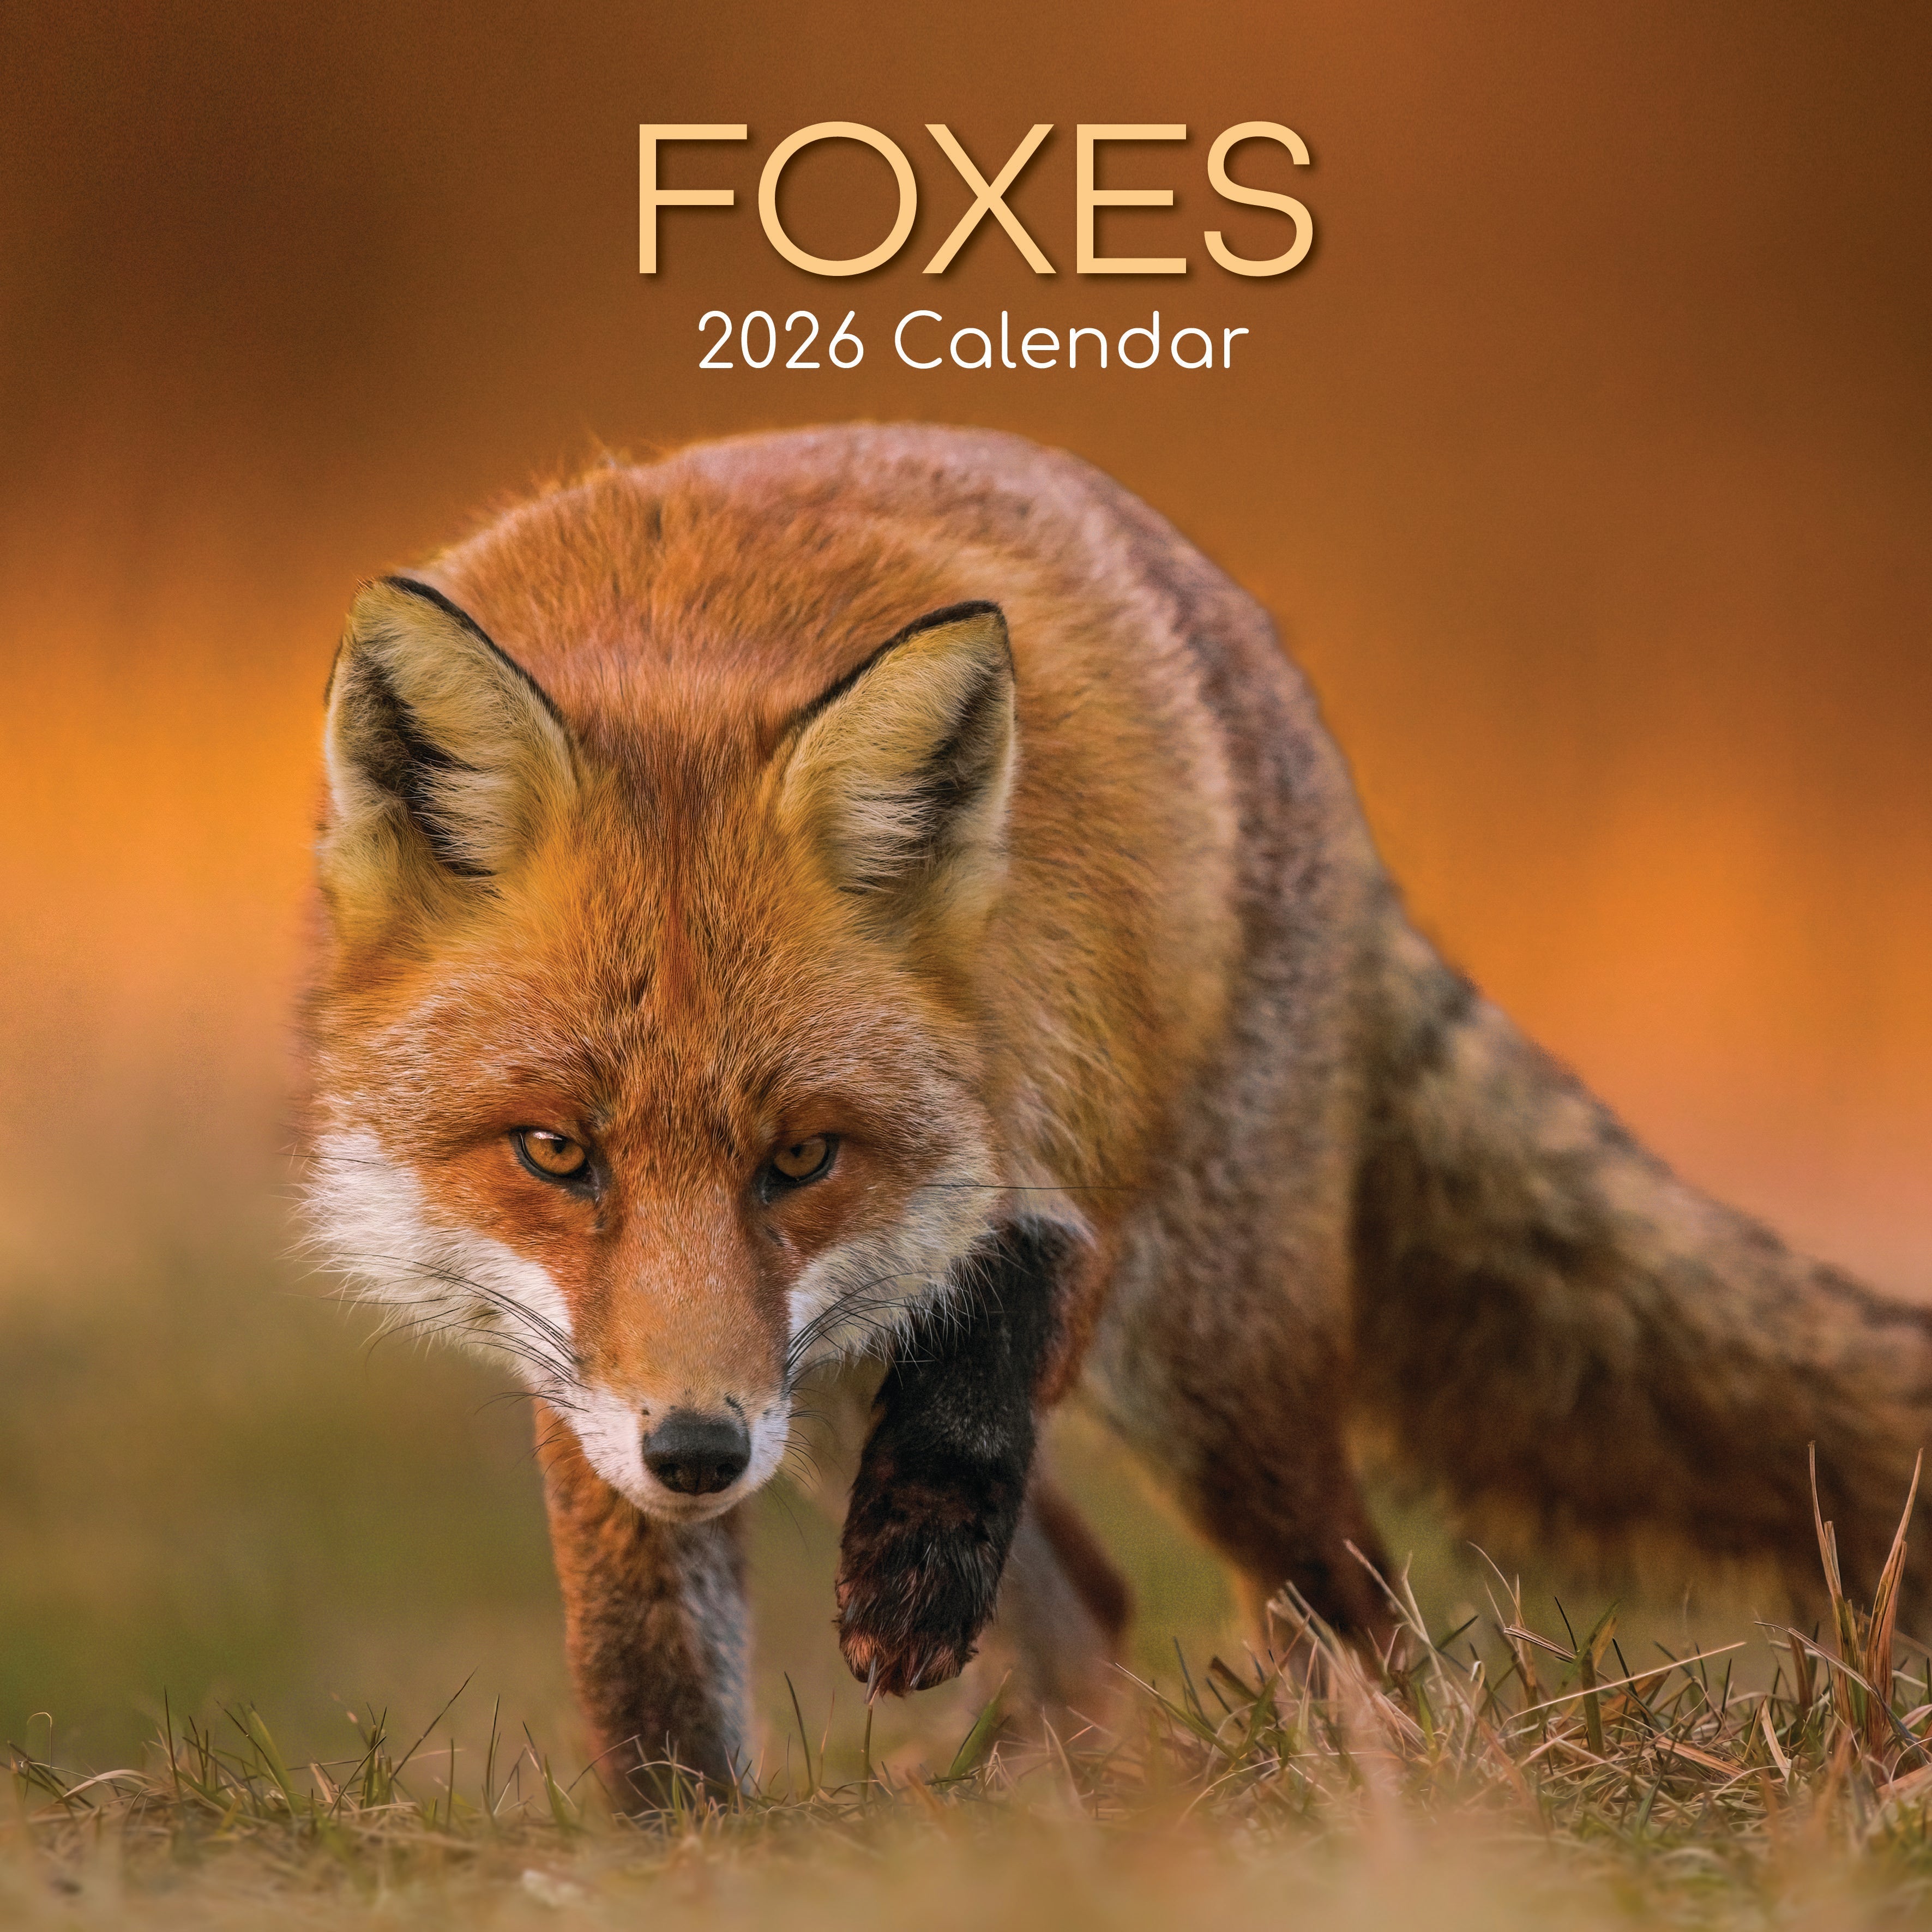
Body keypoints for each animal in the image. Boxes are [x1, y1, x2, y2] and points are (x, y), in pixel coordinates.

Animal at [303, 421, 1932, 1804]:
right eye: (554, 1152)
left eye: (803, 1156)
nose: (697, 1448)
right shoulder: (596, 1375)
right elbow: (644, 1667)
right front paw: (682, 1847)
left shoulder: (1073, 1109)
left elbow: (1005, 1324)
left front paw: (917, 1567)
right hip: (827, 1395)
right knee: (1092, 1601)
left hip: (1217, 1372)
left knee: (1347, 1599)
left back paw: (1375, 1791)